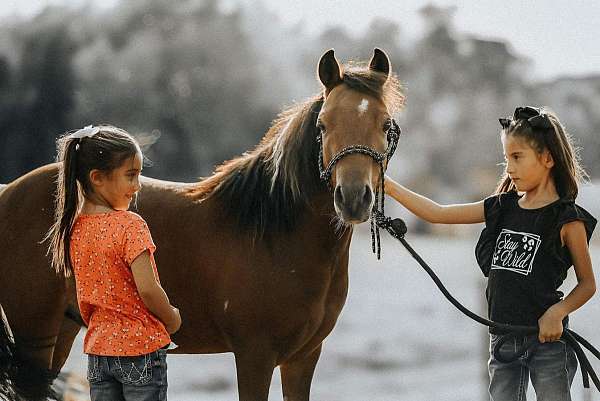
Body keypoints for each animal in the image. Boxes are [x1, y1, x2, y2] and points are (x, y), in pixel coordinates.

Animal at [0, 48, 406, 398]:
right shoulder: (255, 354)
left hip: (62, 330)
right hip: (34, 334)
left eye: (386, 125)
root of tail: (8, 193)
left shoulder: (303, 358)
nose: (353, 198)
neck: (276, 235)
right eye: (323, 125)